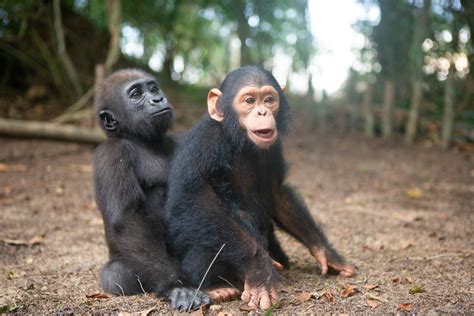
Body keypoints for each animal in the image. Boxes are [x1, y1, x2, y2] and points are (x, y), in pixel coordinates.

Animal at [94, 68, 209, 308]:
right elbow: (127, 219)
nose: (158, 99)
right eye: (136, 94)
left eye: (154, 89)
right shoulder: (110, 154)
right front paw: (176, 286)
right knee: (116, 275)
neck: (140, 139)